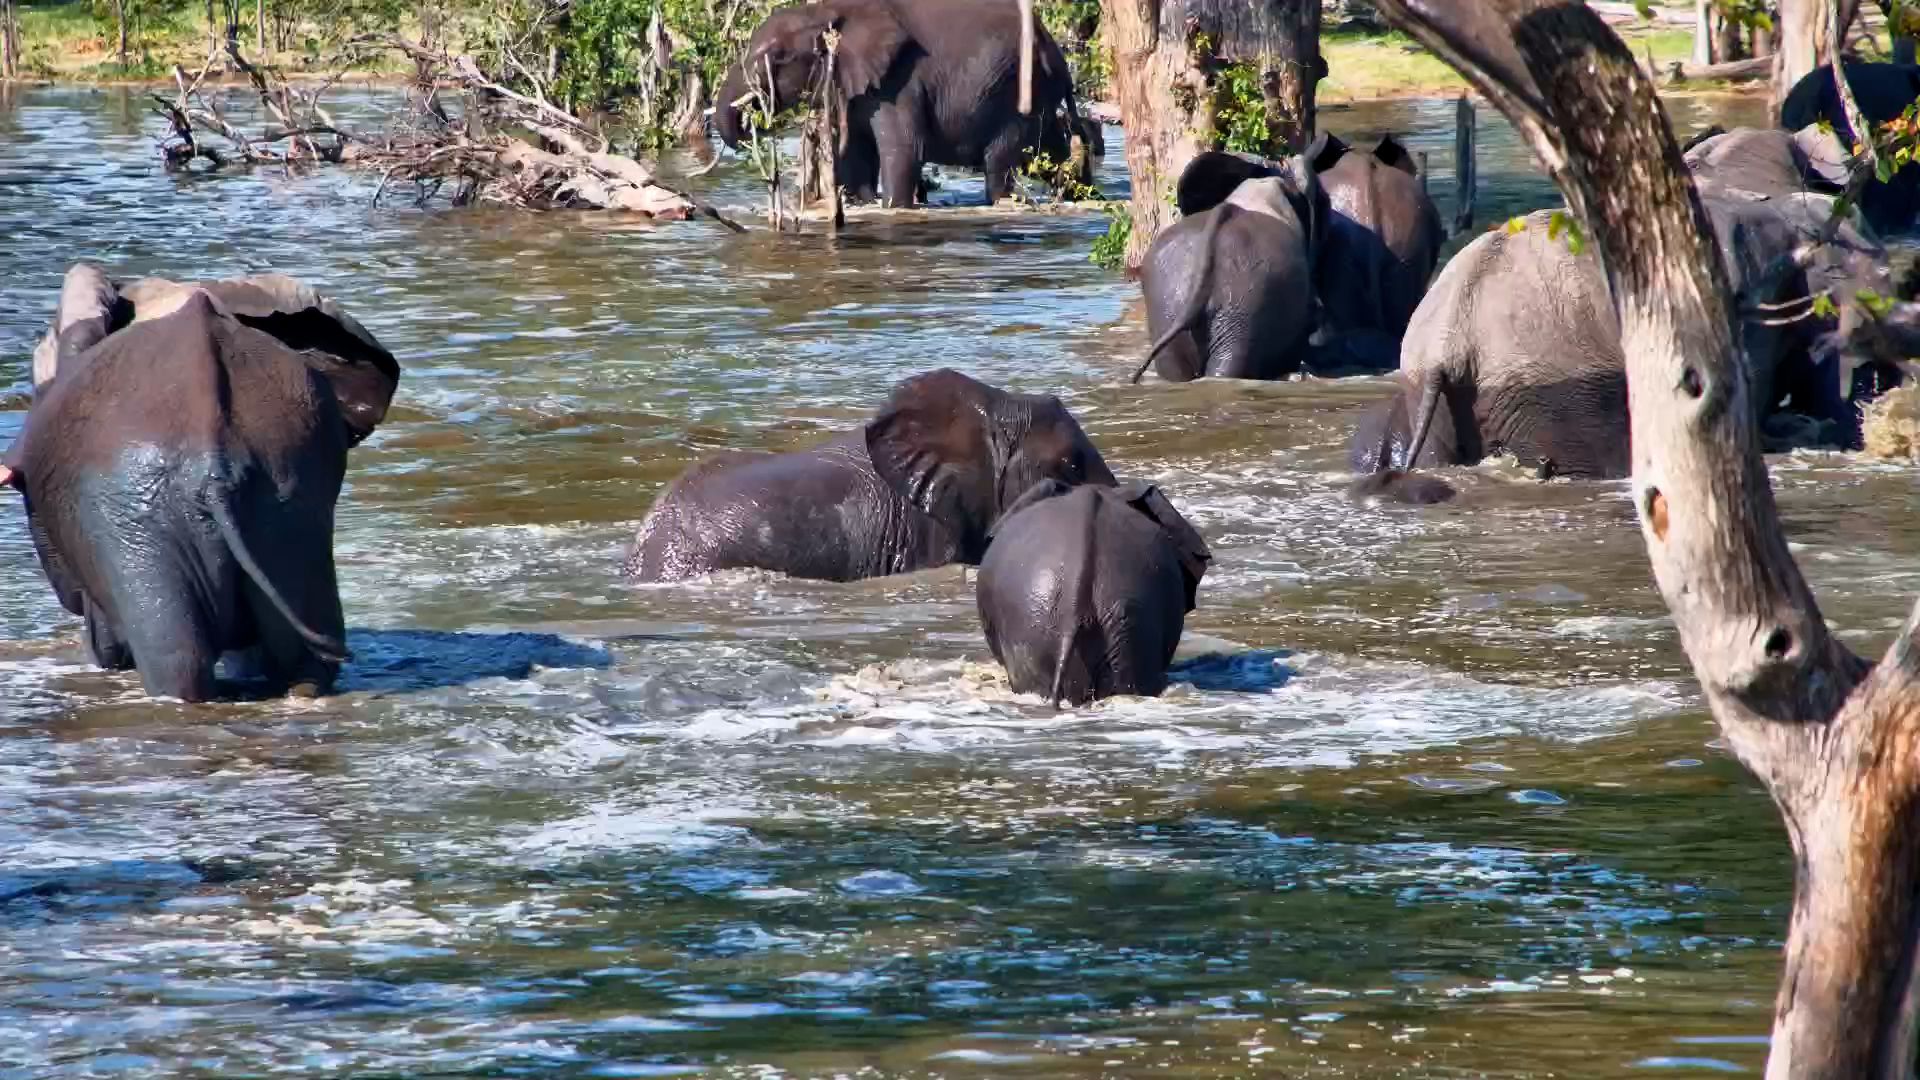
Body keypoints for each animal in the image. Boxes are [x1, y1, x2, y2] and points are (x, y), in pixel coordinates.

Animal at [713, 0, 1087, 208]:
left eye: (779, 57)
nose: (747, 129)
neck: (826, 10)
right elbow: (855, 151)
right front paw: (862, 202)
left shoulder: (901, 80)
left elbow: (904, 148)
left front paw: (894, 208)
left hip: (1019, 86)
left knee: (999, 160)